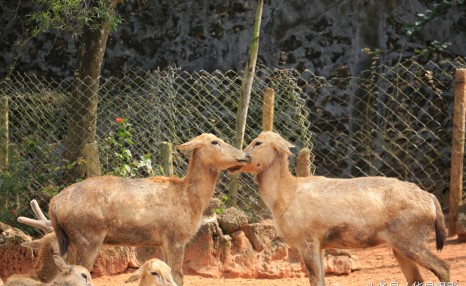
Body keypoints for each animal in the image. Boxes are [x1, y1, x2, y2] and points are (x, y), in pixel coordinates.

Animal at [48, 133, 251, 284]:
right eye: (215, 141)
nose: (246, 155)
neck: (194, 199)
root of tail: (54, 203)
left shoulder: (163, 242)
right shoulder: (175, 238)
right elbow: (178, 276)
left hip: (70, 239)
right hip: (89, 238)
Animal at [237, 132, 452, 286]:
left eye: (257, 142)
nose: (242, 157)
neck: (284, 196)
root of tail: (432, 200)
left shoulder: (307, 239)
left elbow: (316, 279)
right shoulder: (319, 244)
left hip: (410, 239)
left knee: (444, 267)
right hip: (399, 244)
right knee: (417, 279)